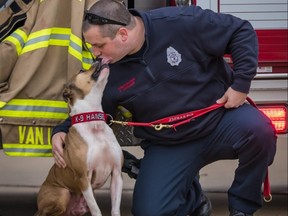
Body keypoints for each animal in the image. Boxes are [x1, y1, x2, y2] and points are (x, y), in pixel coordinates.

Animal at [35, 59, 122, 216]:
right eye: (81, 70)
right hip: (62, 194)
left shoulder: (117, 174)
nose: (99, 59)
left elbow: (115, 208)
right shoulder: (83, 179)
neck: (93, 123)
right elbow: (96, 209)